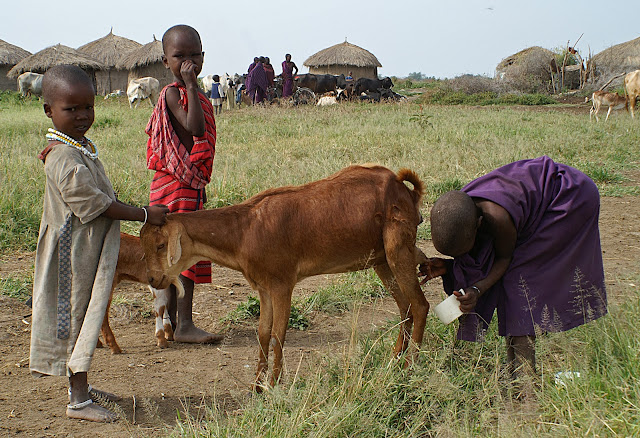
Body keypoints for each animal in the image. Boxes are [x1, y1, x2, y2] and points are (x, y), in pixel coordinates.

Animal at [140, 164, 429, 391]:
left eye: (160, 245)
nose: (153, 279)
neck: (243, 231)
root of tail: (405, 190)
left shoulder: (282, 285)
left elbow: (278, 334)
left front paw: (273, 384)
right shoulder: (264, 289)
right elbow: (263, 333)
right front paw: (257, 385)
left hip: (398, 249)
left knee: (420, 305)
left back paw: (410, 364)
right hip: (381, 260)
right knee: (405, 306)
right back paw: (394, 359)